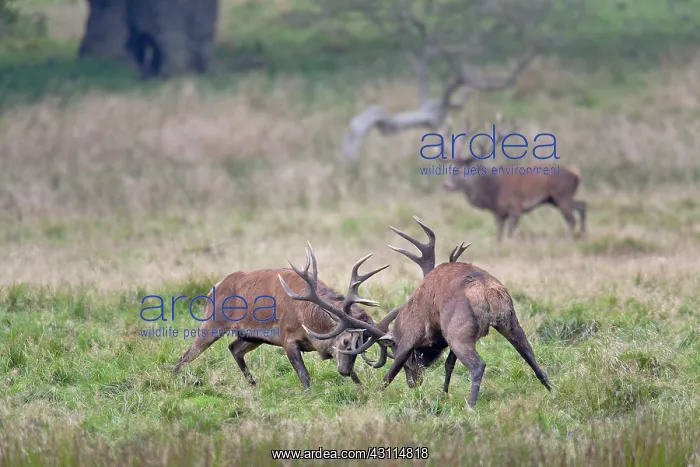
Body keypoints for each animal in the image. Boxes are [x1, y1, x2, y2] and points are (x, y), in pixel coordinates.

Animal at [172, 248, 398, 390]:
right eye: (345, 341)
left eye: (362, 346)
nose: (343, 370)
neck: (307, 319)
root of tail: (213, 289)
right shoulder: (287, 338)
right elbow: (304, 375)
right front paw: (309, 396)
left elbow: (356, 377)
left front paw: (362, 391)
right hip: (213, 323)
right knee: (186, 356)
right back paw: (172, 380)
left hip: (253, 336)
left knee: (234, 347)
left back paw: (253, 385)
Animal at [282, 216, 552, 408]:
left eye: (391, 348)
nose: (414, 383)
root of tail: (487, 292)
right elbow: (448, 365)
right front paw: (443, 394)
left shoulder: (411, 335)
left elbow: (390, 372)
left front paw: (375, 396)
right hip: (508, 319)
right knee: (530, 354)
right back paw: (552, 391)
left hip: (460, 329)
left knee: (478, 365)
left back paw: (470, 405)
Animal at [441, 115, 586, 242]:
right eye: (449, 168)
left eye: (462, 170)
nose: (447, 185)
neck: (493, 192)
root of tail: (577, 174)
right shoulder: (499, 213)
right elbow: (499, 236)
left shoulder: (516, 206)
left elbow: (510, 233)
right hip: (554, 199)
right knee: (582, 205)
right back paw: (582, 235)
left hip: (562, 194)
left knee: (572, 219)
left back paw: (570, 239)